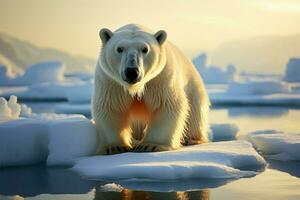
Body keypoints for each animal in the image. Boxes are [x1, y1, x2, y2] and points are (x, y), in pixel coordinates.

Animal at [92, 23, 210, 155]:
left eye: (145, 49)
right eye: (119, 49)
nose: (132, 72)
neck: (136, 87)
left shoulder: (160, 78)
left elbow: (166, 105)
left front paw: (150, 145)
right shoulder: (111, 81)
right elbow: (111, 106)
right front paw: (115, 147)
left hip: (193, 87)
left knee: (194, 113)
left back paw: (192, 139)